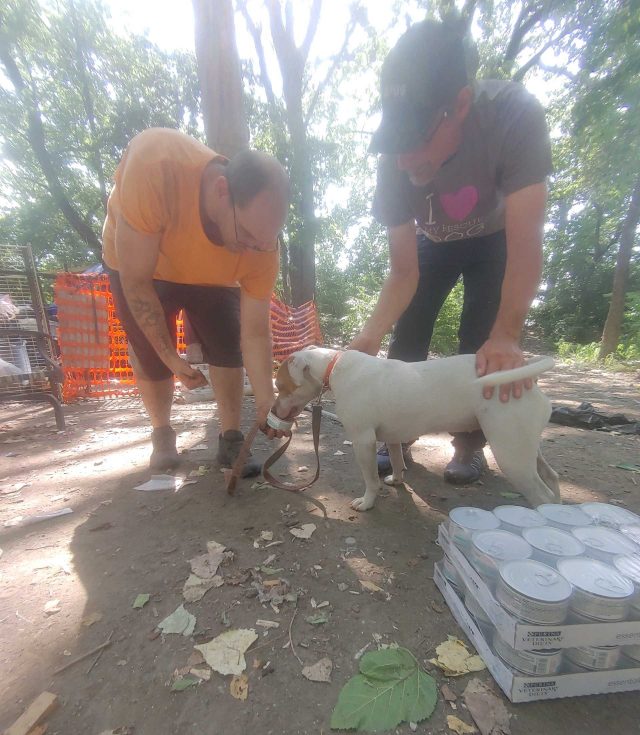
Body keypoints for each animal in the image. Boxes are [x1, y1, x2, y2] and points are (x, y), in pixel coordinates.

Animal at [272, 346, 556, 512]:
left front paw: (367, 502)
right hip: (527, 449)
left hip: (511, 456)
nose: (273, 410)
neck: (334, 365)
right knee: (551, 478)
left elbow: (371, 479)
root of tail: (527, 376)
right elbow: (398, 461)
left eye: (281, 385)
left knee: (543, 496)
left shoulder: (363, 441)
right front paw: (397, 481)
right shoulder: (393, 438)